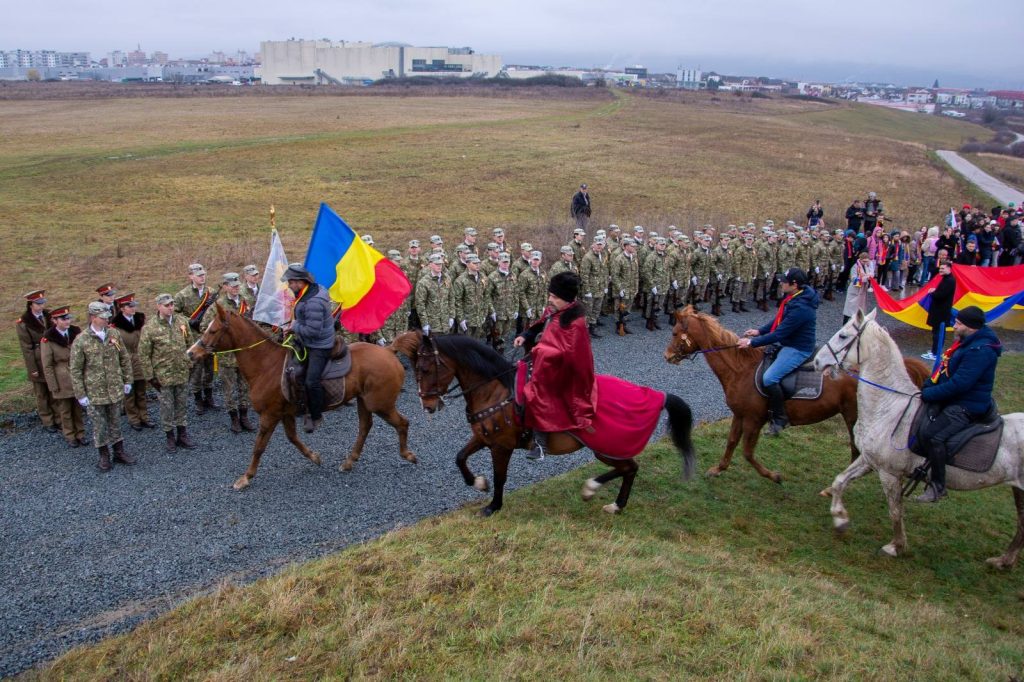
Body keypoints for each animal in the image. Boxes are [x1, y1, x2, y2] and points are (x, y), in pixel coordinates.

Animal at [186, 304, 416, 490]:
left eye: (213, 330)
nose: (191, 352)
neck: (266, 365)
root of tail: (389, 351)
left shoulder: (269, 415)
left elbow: (259, 447)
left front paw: (246, 477)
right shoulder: (285, 414)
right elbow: (293, 438)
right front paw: (314, 457)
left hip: (380, 404)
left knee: (402, 423)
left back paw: (407, 455)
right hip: (364, 402)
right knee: (365, 427)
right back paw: (349, 461)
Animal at [391, 330, 696, 516]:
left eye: (425, 369)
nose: (428, 406)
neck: (495, 390)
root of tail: (657, 395)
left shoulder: (501, 446)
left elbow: (500, 477)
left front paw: (493, 505)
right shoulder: (484, 437)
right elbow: (460, 457)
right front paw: (478, 483)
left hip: (606, 448)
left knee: (629, 468)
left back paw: (595, 490)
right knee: (629, 469)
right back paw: (614, 504)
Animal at [663, 305, 930, 483]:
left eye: (675, 333)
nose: (667, 356)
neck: (741, 369)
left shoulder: (754, 419)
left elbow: (748, 453)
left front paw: (773, 475)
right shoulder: (739, 415)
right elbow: (731, 443)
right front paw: (719, 469)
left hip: (853, 416)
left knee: (857, 449)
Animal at [812, 309, 1024, 566]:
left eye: (843, 335)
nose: (817, 361)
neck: (889, 407)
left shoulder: (889, 473)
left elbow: (895, 510)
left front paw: (896, 546)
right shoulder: (870, 460)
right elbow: (840, 481)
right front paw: (840, 519)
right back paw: (1004, 560)